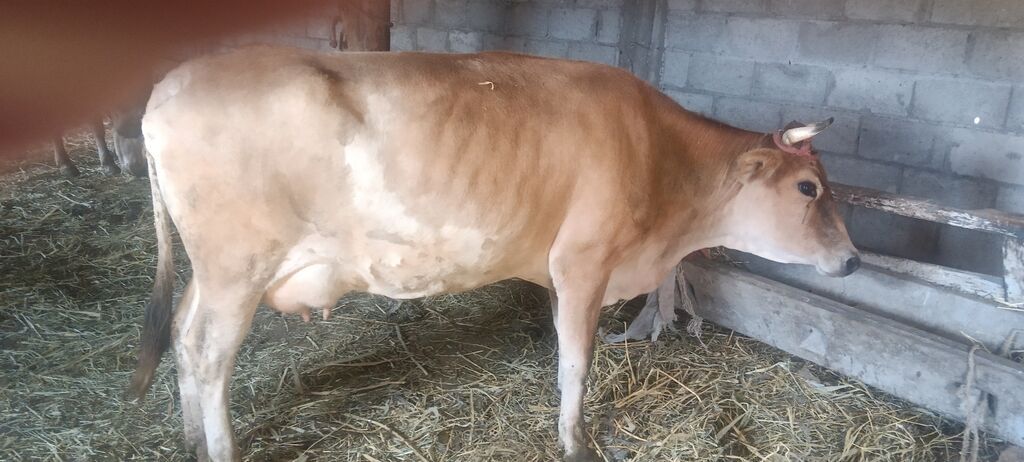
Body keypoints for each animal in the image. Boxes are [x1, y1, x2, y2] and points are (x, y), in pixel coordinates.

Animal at [128, 46, 860, 461]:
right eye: (808, 187)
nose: (853, 261)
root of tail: (166, 87)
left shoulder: (565, 271)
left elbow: (561, 353)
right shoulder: (583, 263)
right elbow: (577, 365)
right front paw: (575, 442)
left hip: (214, 271)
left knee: (183, 336)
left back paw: (190, 437)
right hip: (237, 269)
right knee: (208, 353)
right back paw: (221, 448)